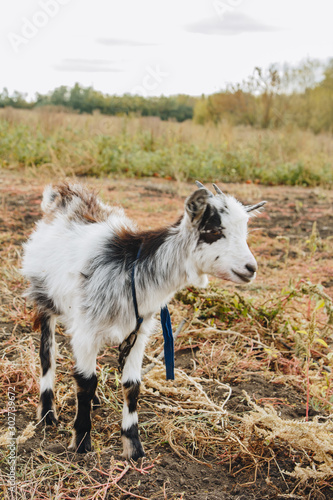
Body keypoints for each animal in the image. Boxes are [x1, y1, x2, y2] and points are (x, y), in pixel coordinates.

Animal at [21, 182, 264, 458]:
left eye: (244, 231)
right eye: (214, 231)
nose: (251, 268)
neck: (132, 272)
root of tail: (64, 196)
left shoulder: (138, 334)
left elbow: (131, 385)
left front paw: (133, 446)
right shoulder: (87, 330)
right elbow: (86, 382)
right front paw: (81, 441)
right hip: (44, 299)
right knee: (47, 354)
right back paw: (47, 413)